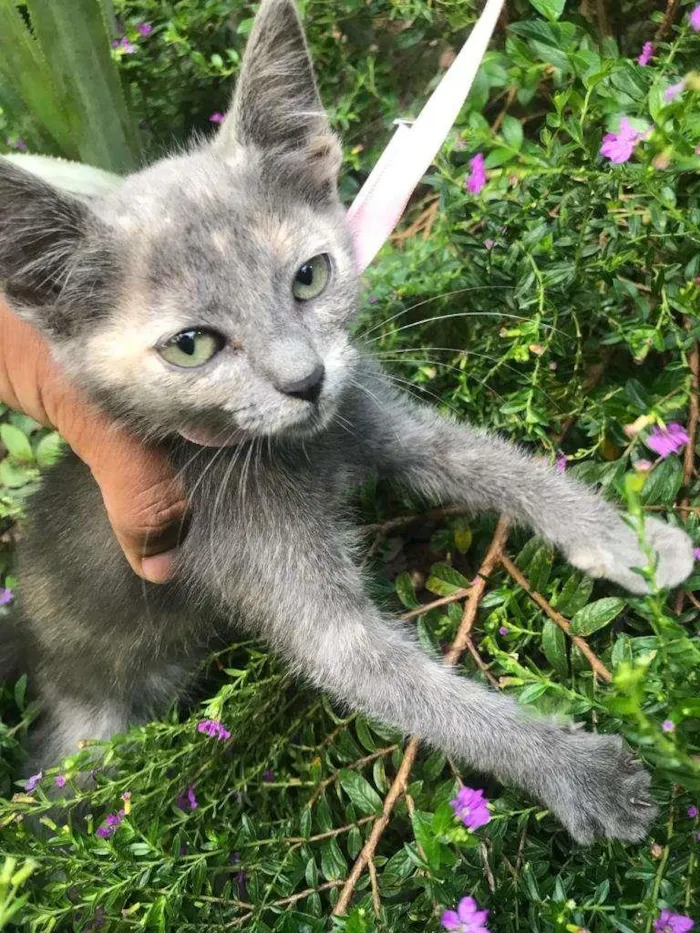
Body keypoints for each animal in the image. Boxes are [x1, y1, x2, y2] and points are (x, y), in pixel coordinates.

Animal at [0, 0, 692, 844]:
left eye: (310, 276)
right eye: (192, 345)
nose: (306, 381)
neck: (296, 451)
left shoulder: (386, 424)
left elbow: (500, 465)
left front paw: (633, 542)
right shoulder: (273, 576)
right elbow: (419, 692)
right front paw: (579, 771)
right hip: (87, 734)